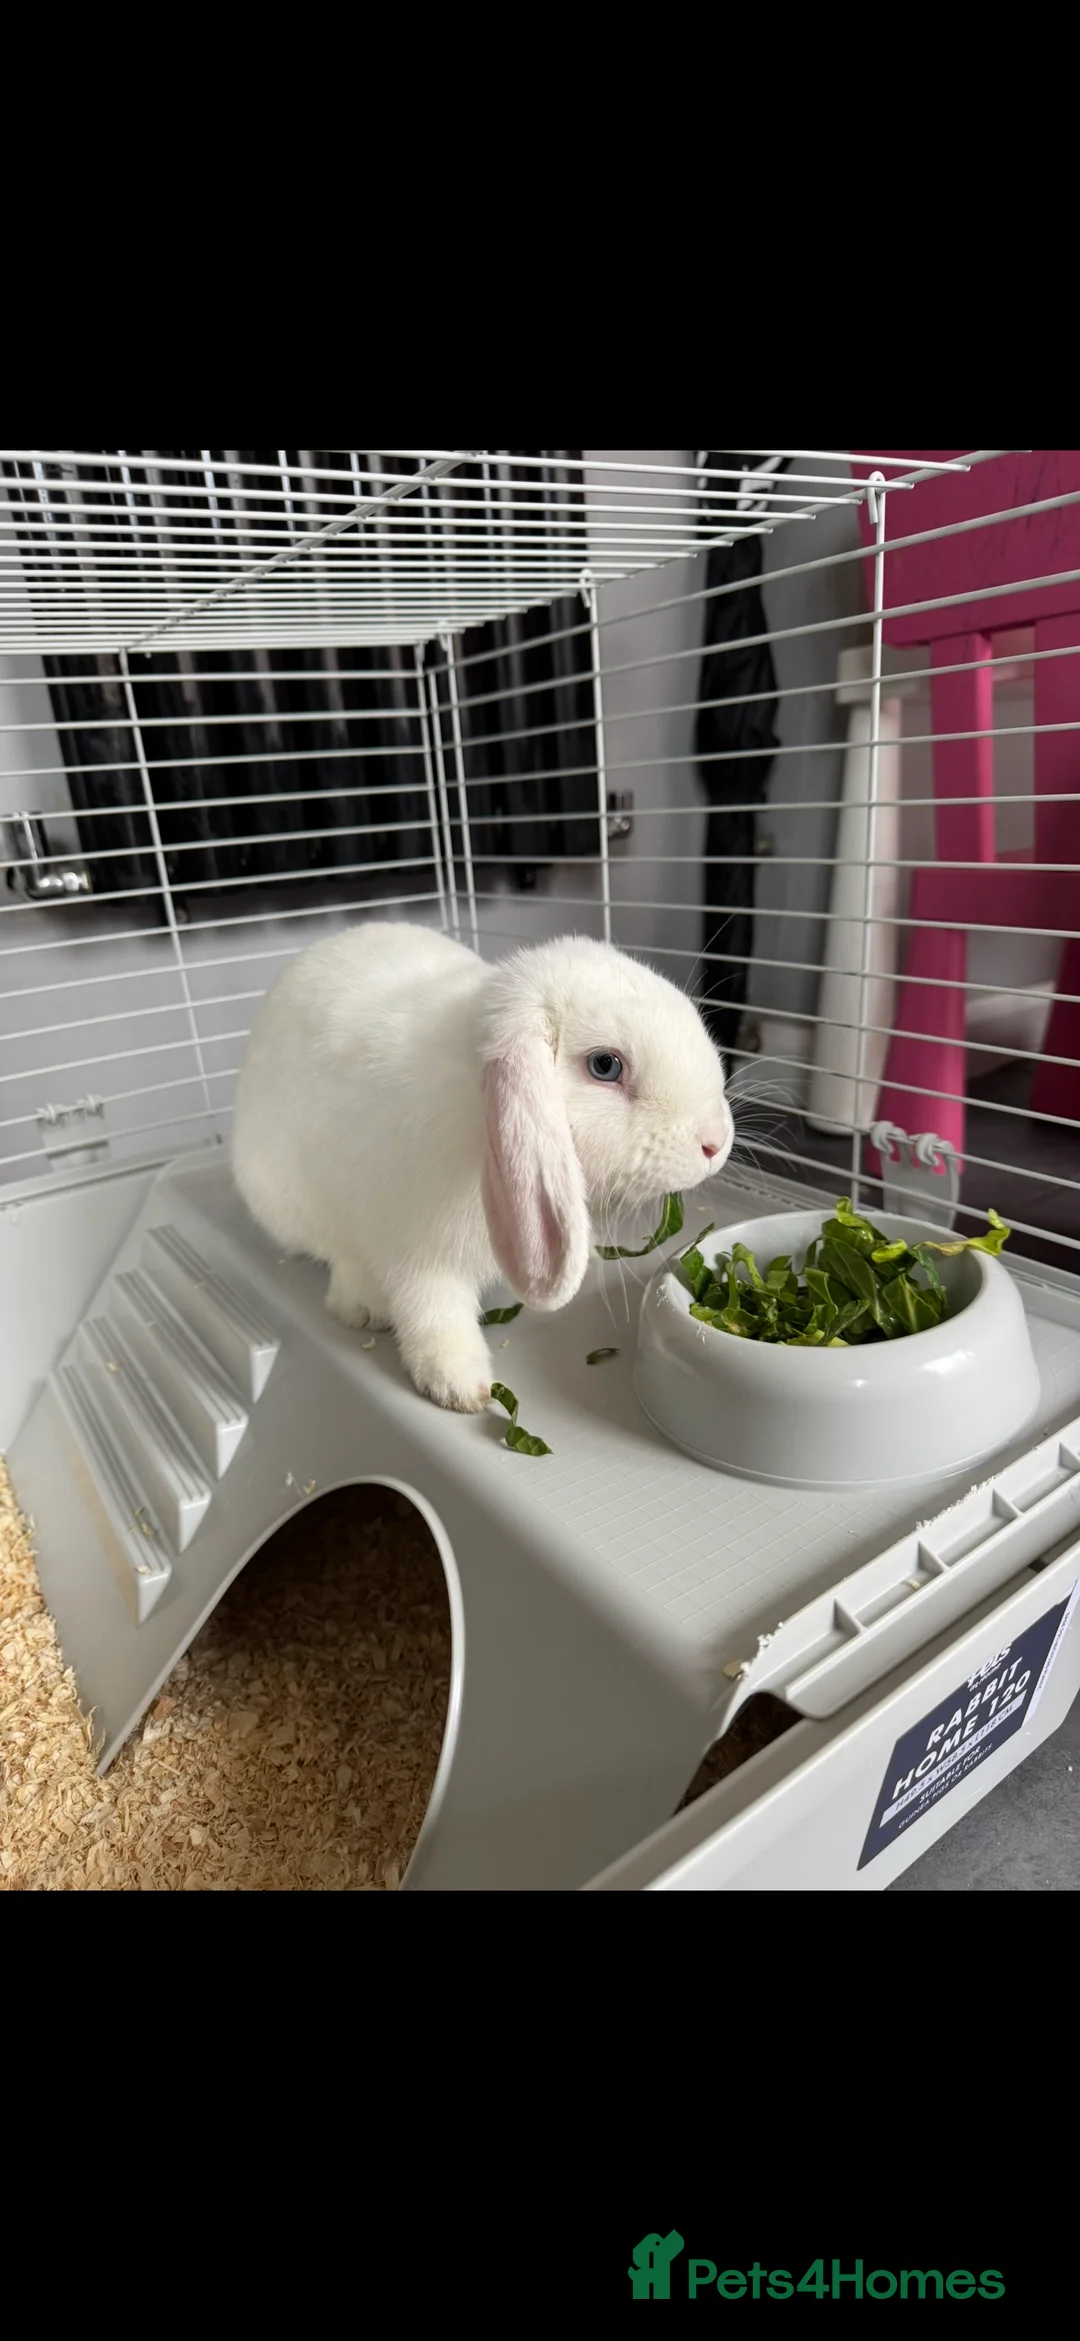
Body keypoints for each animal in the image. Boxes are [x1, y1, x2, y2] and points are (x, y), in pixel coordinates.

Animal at [232, 921, 733, 1413]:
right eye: (605, 1065)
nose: (715, 1142)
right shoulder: (417, 1253)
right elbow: (433, 1314)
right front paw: (461, 1387)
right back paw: (362, 1306)